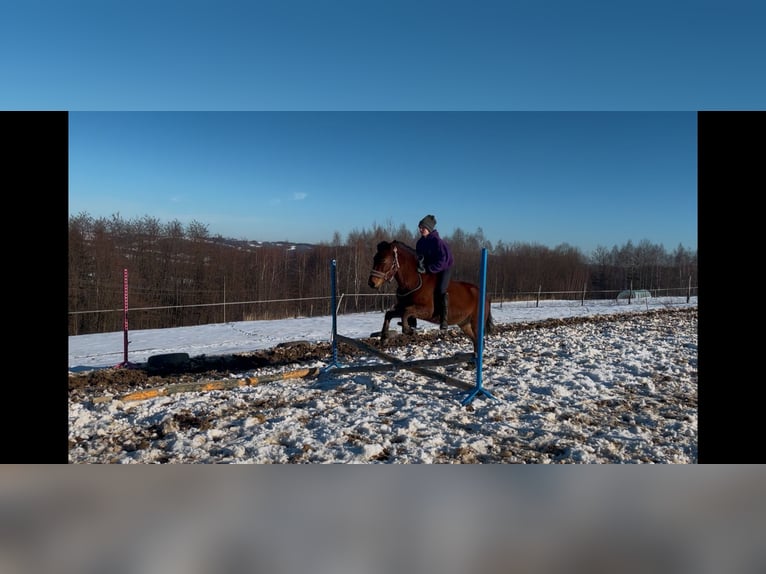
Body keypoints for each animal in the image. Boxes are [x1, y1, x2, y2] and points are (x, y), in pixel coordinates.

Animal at [368, 240, 496, 356]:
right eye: (374, 258)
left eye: (383, 260)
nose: (372, 283)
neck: (413, 281)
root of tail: (484, 294)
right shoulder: (402, 307)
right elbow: (389, 314)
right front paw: (384, 338)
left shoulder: (427, 311)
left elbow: (406, 312)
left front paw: (409, 330)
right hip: (464, 323)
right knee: (475, 340)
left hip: (476, 322)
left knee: (478, 339)